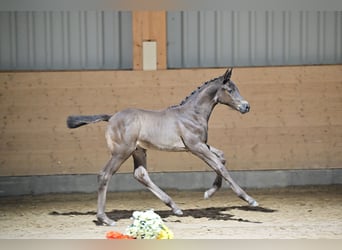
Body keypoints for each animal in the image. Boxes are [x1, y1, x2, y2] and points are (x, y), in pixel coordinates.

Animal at [67, 67, 258, 226]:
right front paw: (249, 199)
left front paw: (209, 192)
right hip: (121, 152)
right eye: (230, 90)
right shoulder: (196, 147)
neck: (192, 114)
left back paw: (175, 207)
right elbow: (219, 165)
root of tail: (111, 117)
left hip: (138, 151)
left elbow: (222, 158)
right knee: (104, 175)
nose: (246, 106)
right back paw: (105, 219)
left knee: (140, 174)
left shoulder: (201, 145)